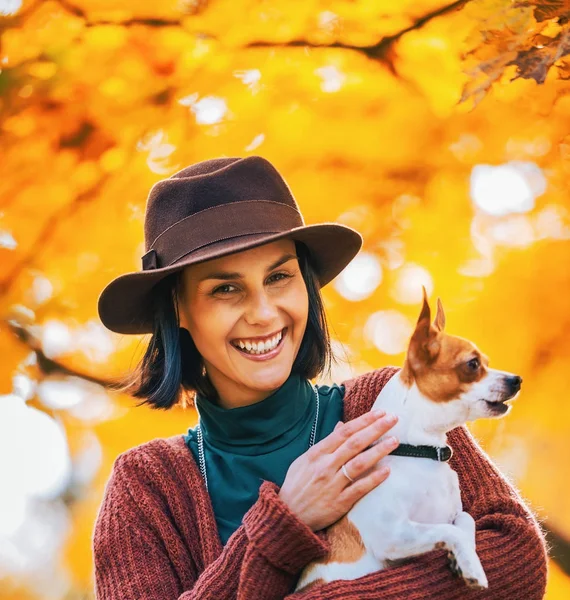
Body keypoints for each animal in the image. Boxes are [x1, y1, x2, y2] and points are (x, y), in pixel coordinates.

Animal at [296, 286, 520, 592]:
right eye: (473, 364)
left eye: (485, 362)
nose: (516, 380)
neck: (419, 453)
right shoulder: (393, 536)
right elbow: (449, 529)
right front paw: (472, 566)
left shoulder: (442, 518)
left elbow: (464, 520)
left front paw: (464, 559)